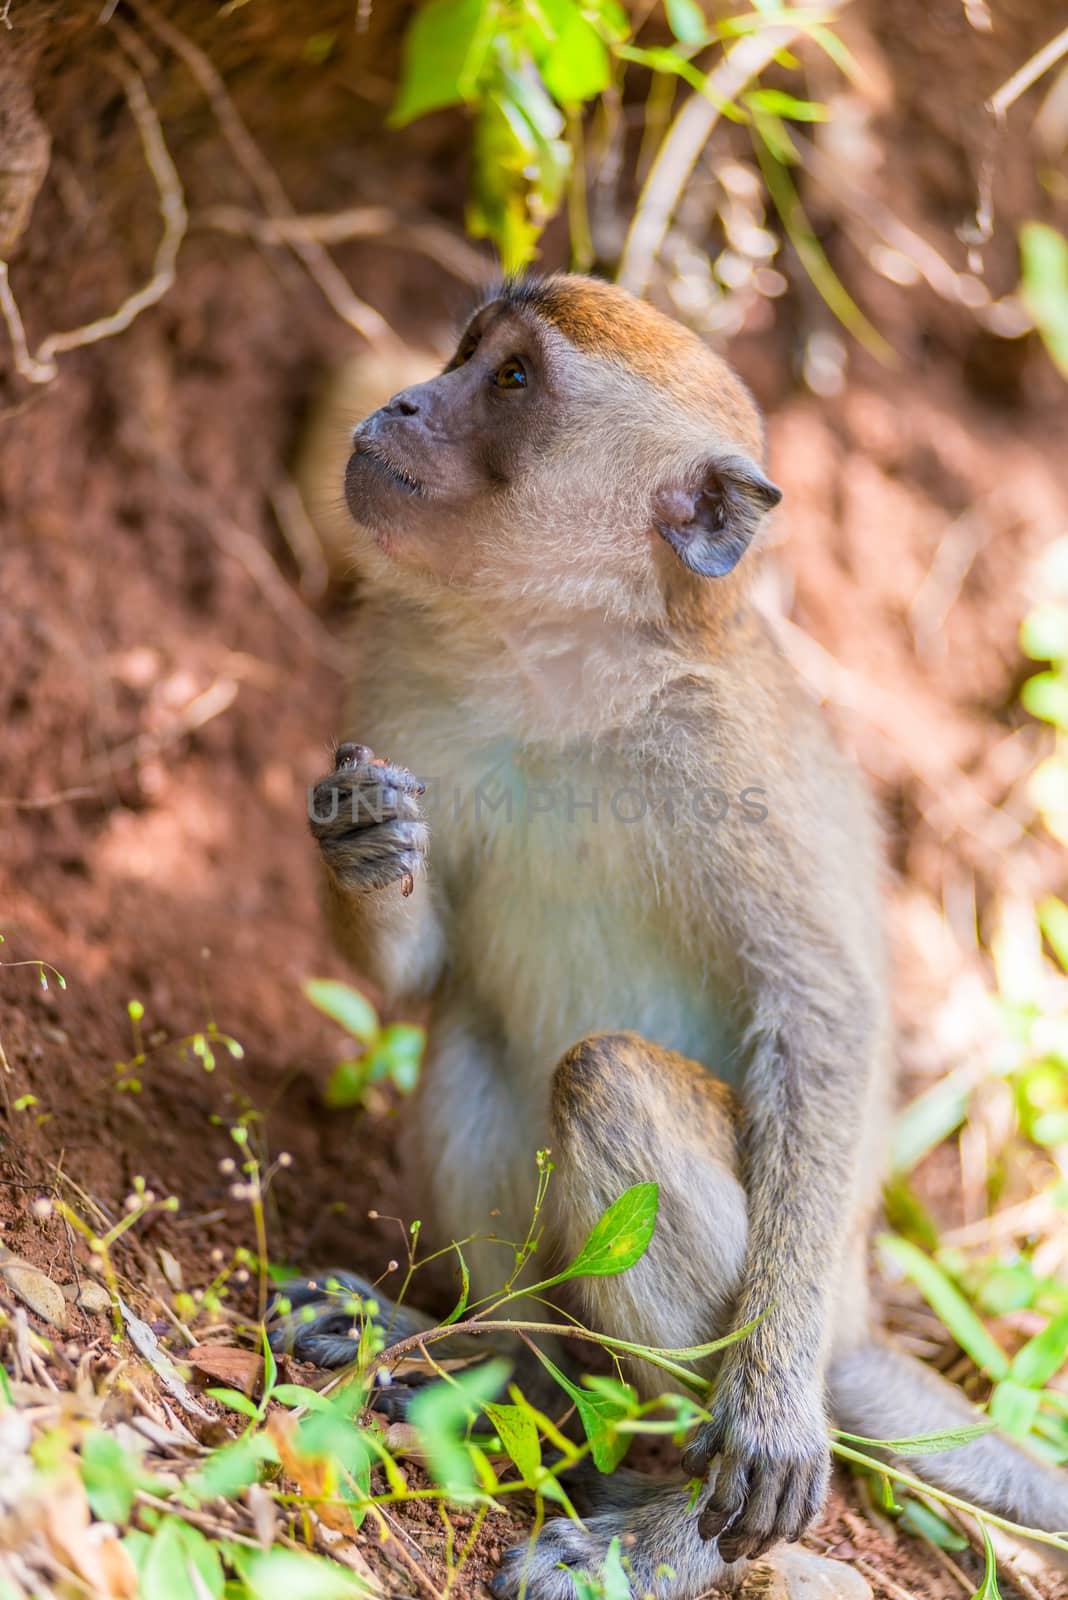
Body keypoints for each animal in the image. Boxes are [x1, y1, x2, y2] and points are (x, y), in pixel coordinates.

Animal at [274, 278, 1068, 1600]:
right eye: (466, 351)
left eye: (512, 382)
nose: (407, 398)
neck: (557, 656)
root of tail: (856, 1316)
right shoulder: (399, 673)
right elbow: (425, 971)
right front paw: (363, 835)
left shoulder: (725, 754)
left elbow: (819, 1011)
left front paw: (762, 1428)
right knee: (477, 1037)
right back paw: (491, 1359)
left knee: (608, 1077)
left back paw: (669, 1523)